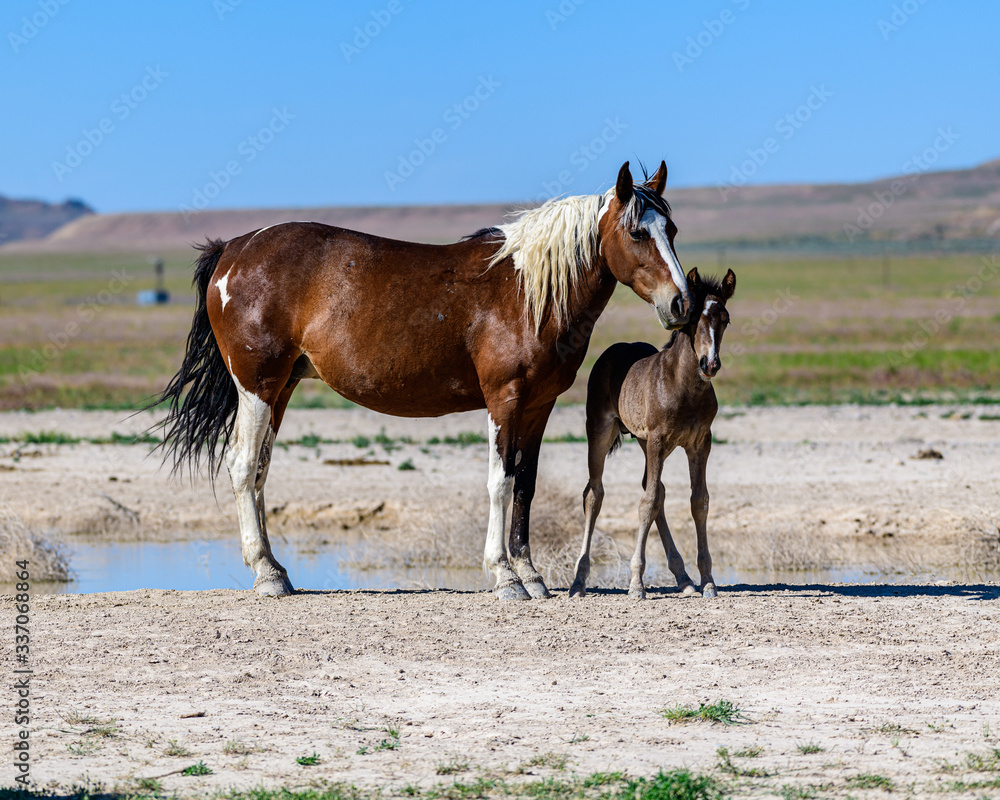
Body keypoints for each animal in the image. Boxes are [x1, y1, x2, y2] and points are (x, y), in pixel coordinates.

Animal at [153, 160, 693, 600]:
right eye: (637, 233)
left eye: (672, 228)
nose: (681, 303)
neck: (526, 291)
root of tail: (234, 249)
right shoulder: (505, 400)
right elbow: (500, 481)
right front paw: (505, 576)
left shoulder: (539, 405)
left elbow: (526, 484)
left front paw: (532, 574)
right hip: (258, 386)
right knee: (244, 467)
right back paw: (265, 575)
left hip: (281, 389)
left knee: (261, 470)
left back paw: (277, 570)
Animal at [569, 267, 736, 600]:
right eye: (693, 319)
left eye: (725, 319)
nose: (710, 364)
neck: (684, 386)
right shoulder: (659, 439)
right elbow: (646, 504)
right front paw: (636, 584)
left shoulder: (700, 442)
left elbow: (698, 501)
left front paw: (708, 581)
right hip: (601, 430)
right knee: (594, 493)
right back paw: (579, 582)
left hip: (646, 442)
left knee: (654, 487)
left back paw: (683, 578)